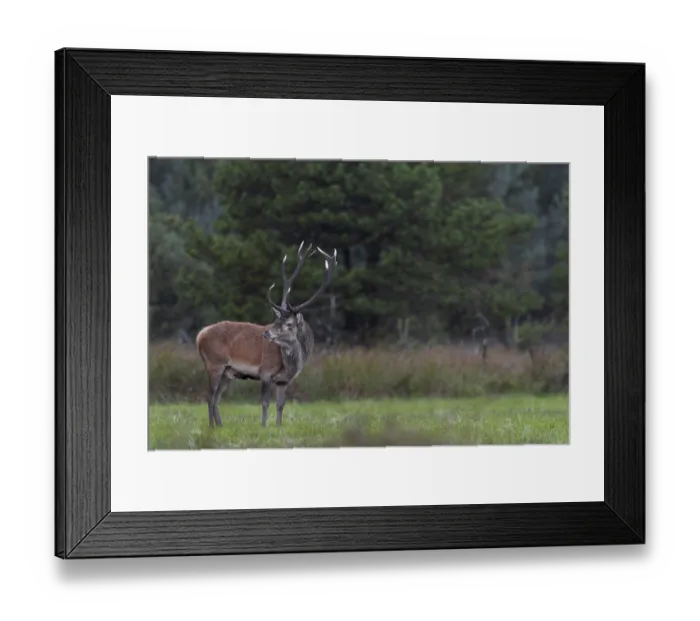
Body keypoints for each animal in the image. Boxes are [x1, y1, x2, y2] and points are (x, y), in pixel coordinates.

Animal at [195, 242, 338, 428]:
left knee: (217, 398)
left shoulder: (284, 381)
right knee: (210, 397)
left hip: (227, 372)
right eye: (276, 319)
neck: (292, 364)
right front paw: (263, 427)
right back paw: (211, 427)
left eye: (289, 324)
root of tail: (199, 335)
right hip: (214, 364)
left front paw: (278, 427)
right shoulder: (265, 372)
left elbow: (280, 404)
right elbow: (264, 403)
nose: (267, 333)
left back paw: (220, 427)